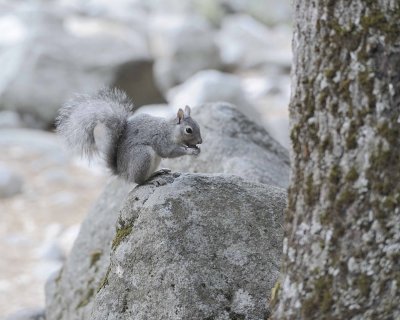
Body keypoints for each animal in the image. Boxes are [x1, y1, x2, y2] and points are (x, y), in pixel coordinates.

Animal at [56, 89, 203, 185]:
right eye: (188, 130)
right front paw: (191, 151)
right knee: (138, 181)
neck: (171, 129)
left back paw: (157, 172)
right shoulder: (161, 139)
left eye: (197, 125)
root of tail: (123, 173)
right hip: (142, 155)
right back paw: (150, 180)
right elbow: (169, 152)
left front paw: (196, 149)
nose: (200, 141)